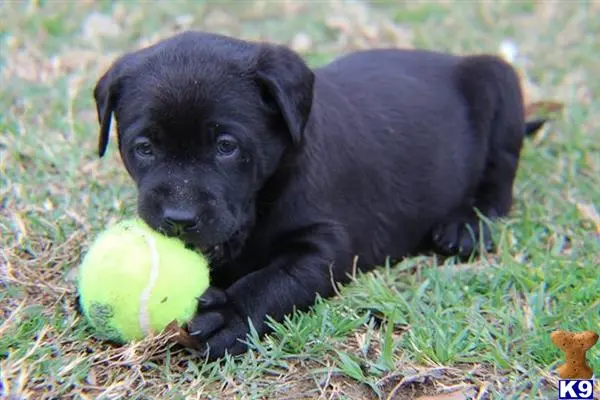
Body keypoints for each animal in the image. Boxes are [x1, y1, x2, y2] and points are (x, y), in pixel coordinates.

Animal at [92, 29, 544, 358]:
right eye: (144, 148)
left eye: (226, 146)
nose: (179, 218)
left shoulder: (325, 246)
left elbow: (275, 280)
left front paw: (230, 316)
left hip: (497, 82)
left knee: (499, 177)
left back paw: (465, 226)